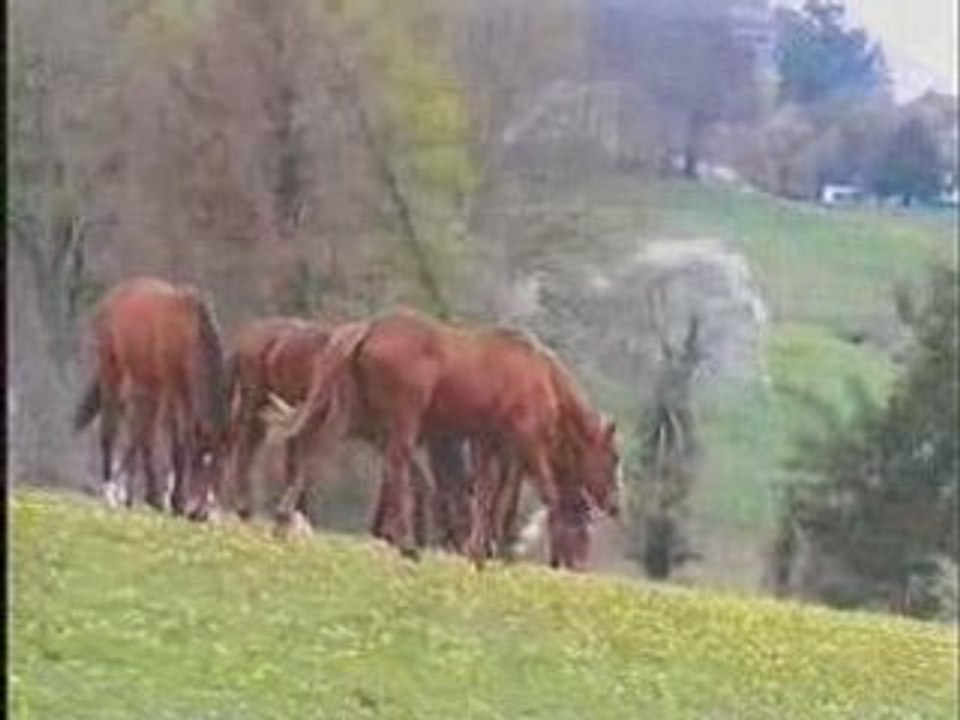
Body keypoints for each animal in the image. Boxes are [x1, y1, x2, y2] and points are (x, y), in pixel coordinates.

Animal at [73, 276, 230, 517]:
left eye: (220, 468)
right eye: (199, 464)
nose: (199, 514)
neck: (188, 332)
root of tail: (113, 297)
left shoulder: (177, 392)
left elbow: (170, 439)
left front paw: (171, 501)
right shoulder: (174, 391)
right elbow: (181, 442)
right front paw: (176, 502)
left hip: (146, 386)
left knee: (141, 433)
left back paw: (138, 497)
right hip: (114, 374)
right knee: (111, 430)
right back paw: (111, 493)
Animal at [265, 309, 621, 565]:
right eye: (614, 458)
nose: (616, 506)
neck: (542, 376)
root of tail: (369, 328)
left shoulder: (488, 444)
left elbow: (486, 496)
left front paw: (478, 551)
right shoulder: (526, 444)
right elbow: (545, 495)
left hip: (348, 413)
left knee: (317, 451)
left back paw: (283, 520)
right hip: (402, 422)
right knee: (397, 469)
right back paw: (407, 544)